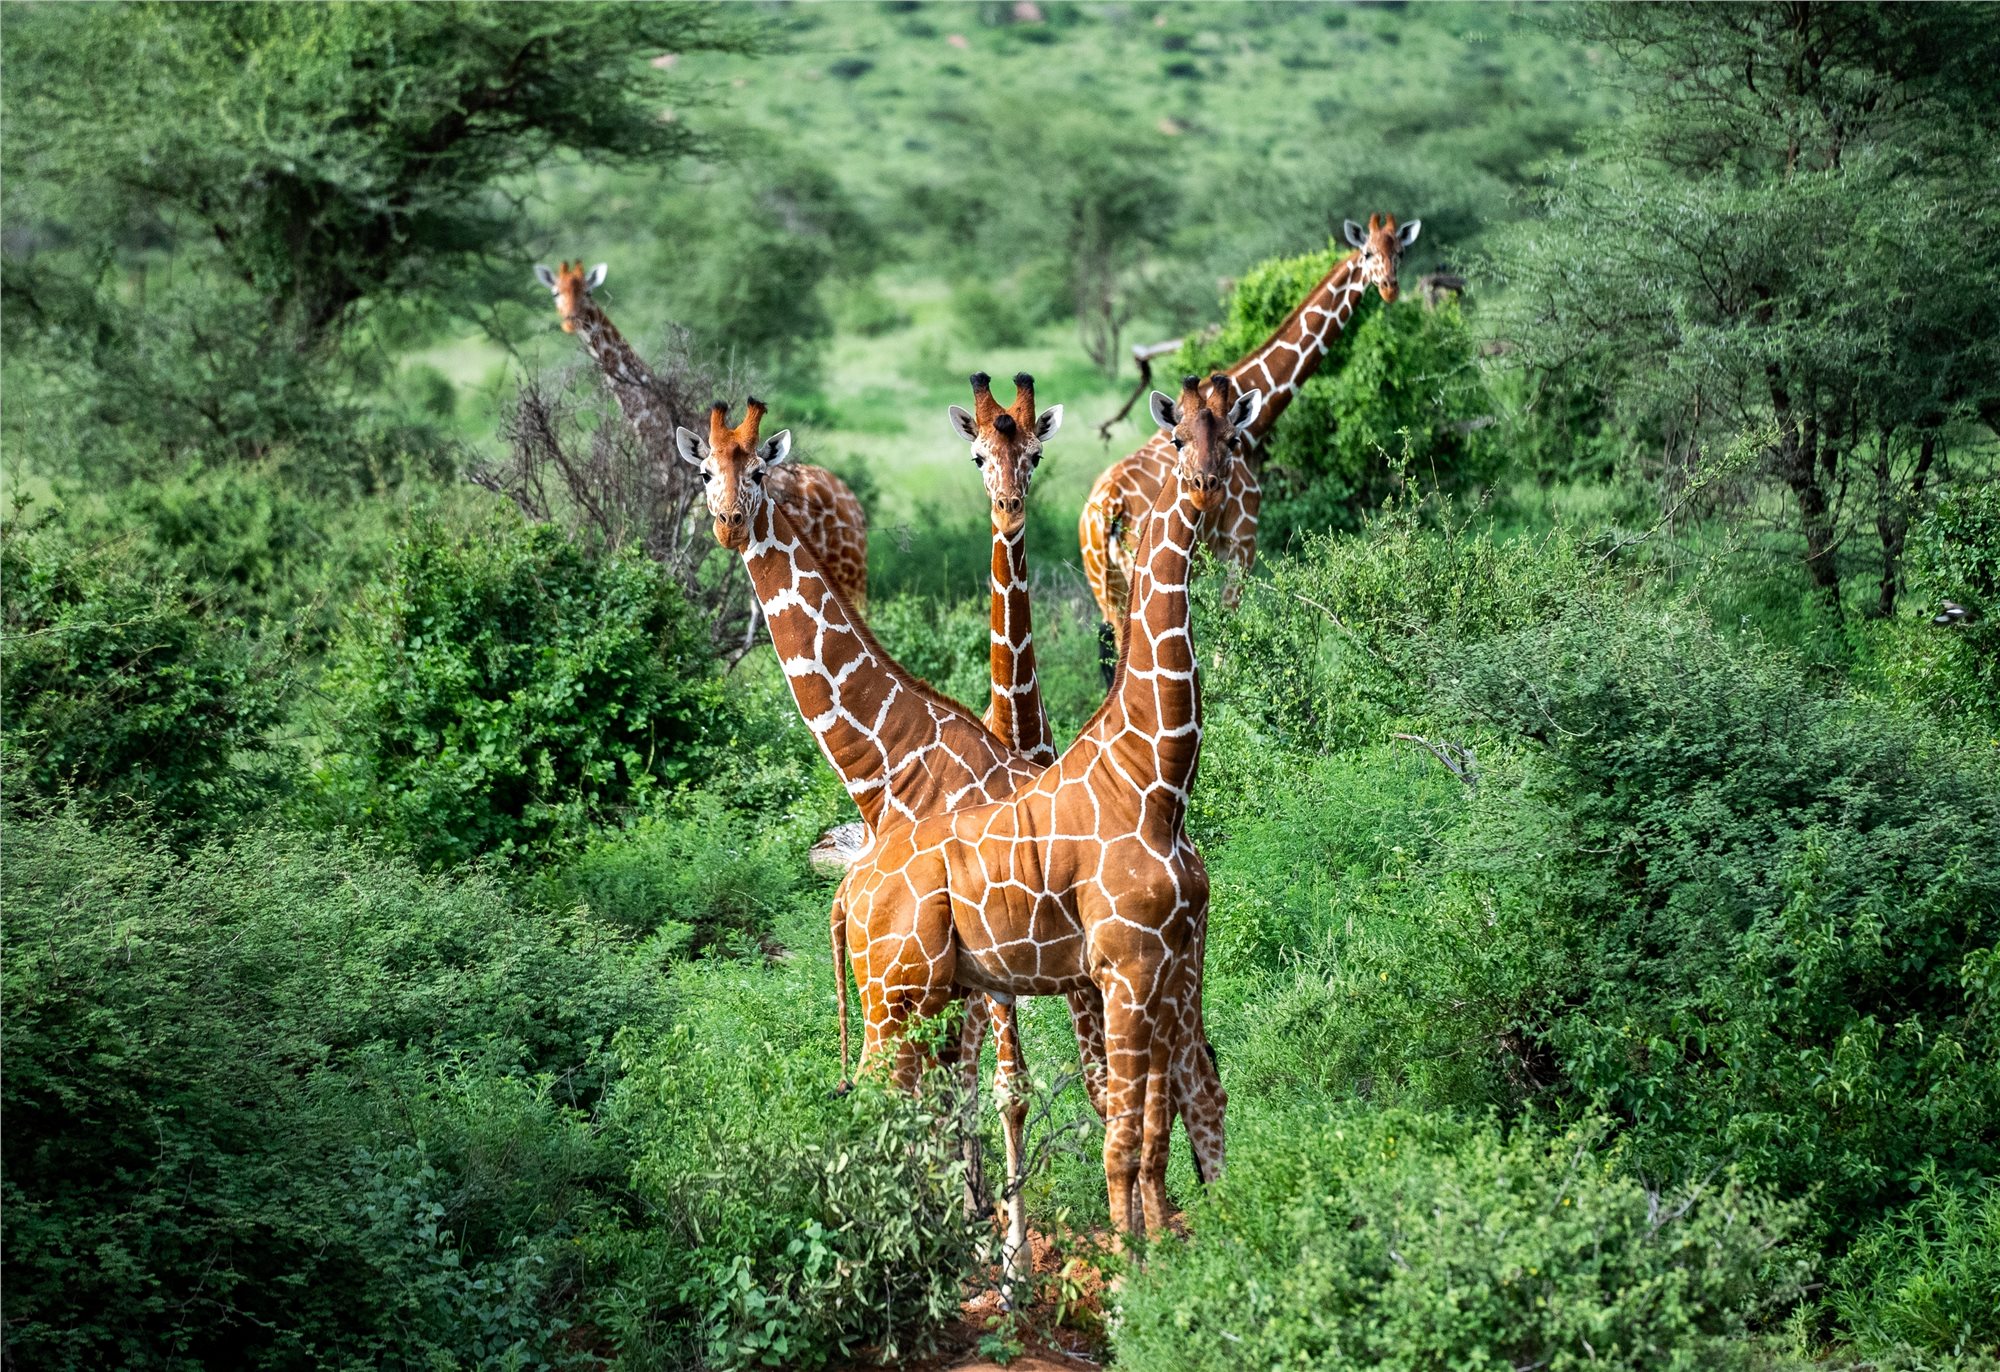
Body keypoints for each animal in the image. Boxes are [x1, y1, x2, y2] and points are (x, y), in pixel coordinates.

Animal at [536, 262, 872, 612]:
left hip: (849, 568)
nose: (570, 320)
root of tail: (855, 507)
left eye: (586, 293)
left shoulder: (684, 520)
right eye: (556, 292)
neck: (658, 430)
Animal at [844, 376, 1264, 1280]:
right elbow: (1123, 1134)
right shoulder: (1126, 967)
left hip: (928, 998)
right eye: (1178, 440)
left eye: (1233, 438)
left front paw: (1160, 1250)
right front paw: (1133, 1270)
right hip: (894, 995)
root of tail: (847, 892)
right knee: (873, 1103)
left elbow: (1154, 1122)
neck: (1155, 778)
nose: (1205, 488)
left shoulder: (1168, 962)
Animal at [1080, 215, 1424, 672]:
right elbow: (1225, 642)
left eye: (1399, 252)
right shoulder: (1242, 546)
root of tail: (1109, 508)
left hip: (1103, 585)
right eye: (1368, 253)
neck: (1256, 416)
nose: (1389, 287)